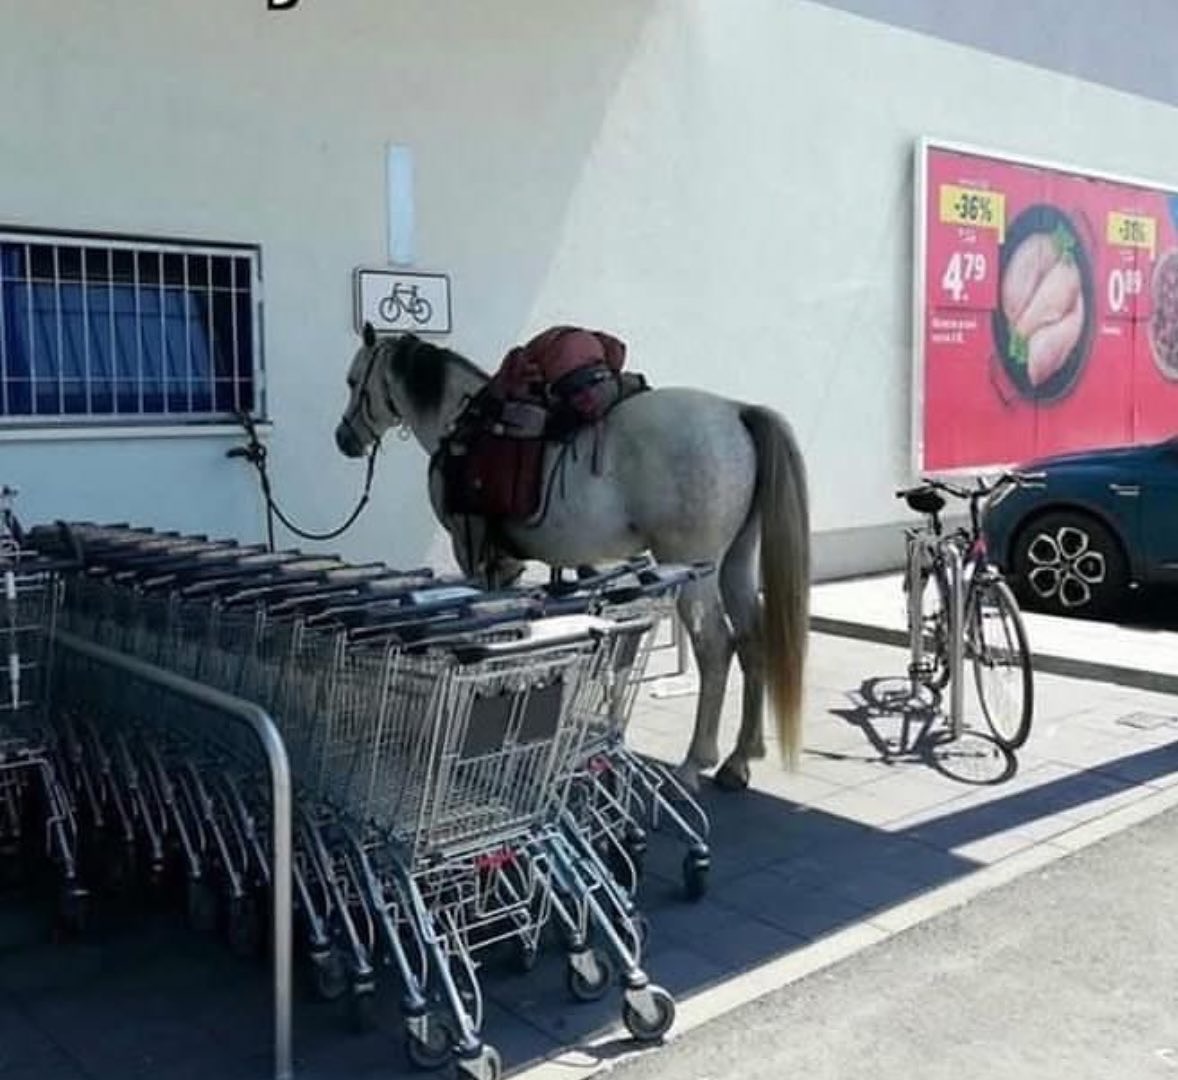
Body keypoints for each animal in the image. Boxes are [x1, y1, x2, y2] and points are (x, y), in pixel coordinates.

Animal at [334, 326, 810, 792]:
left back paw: (696, 763)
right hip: (736, 562)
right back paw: (739, 760)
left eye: (354, 381)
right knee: (751, 641)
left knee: (716, 647)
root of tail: (736, 412)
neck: (460, 426)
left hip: (695, 569)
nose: (344, 439)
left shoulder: (473, 555)